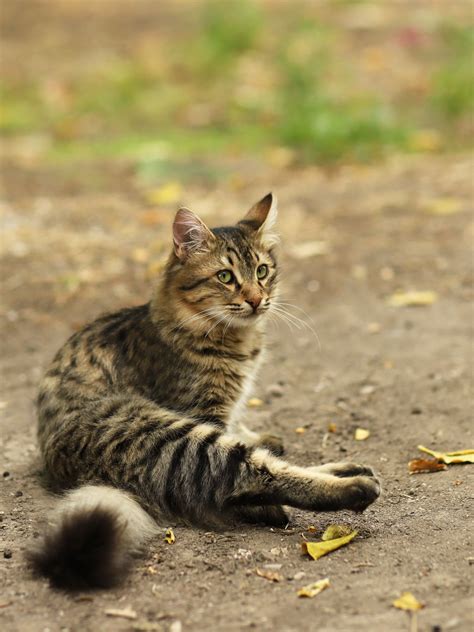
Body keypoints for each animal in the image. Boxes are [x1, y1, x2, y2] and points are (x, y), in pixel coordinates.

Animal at [29, 193, 380, 588]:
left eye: (262, 271)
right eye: (226, 277)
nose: (256, 300)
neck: (237, 340)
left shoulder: (230, 408)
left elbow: (243, 429)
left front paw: (260, 435)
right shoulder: (206, 411)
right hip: (173, 434)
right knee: (252, 476)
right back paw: (354, 486)